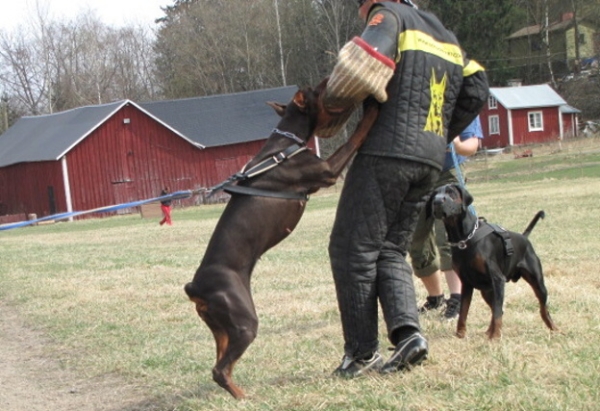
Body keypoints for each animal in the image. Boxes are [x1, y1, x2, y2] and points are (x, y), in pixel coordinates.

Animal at [426, 185, 556, 340]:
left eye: (451, 192)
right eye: (434, 195)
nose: (437, 201)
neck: (464, 239)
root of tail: (524, 238)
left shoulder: (498, 279)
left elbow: (497, 313)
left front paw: (495, 337)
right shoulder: (466, 283)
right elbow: (464, 312)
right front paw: (460, 334)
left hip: (537, 282)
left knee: (543, 308)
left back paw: (554, 328)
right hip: (487, 291)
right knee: (496, 309)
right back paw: (489, 331)